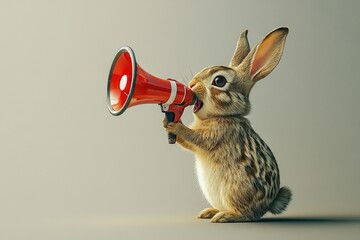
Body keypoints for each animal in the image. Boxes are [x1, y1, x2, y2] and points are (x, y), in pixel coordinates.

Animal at [163, 27, 292, 222]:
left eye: (219, 81)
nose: (192, 84)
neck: (223, 115)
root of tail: (268, 205)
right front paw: (166, 122)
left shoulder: (218, 134)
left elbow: (197, 138)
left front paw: (176, 126)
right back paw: (209, 212)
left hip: (236, 191)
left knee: (247, 215)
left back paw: (224, 216)